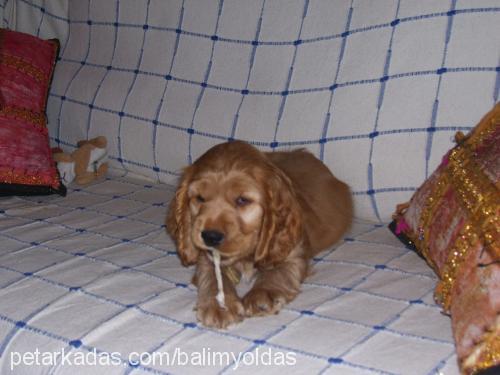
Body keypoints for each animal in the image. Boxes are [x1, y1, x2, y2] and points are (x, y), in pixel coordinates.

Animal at [166, 141, 354, 328]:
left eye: (242, 200)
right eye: (200, 198)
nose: (210, 236)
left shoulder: (293, 251)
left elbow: (278, 270)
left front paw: (262, 295)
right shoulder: (206, 257)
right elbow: (212, 275)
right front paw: (218, 305)